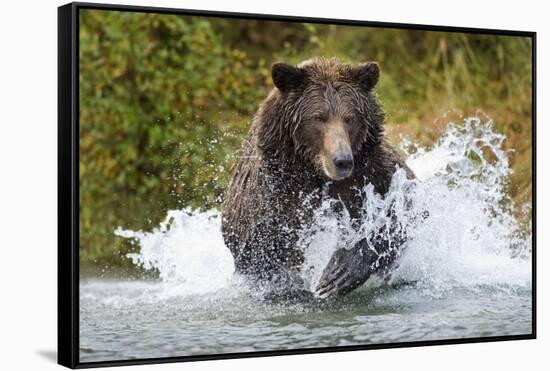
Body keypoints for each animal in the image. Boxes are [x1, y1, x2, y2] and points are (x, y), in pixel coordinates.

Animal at [222, 57, 416, 300]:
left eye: (350, 118)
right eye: (318, 117)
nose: (342, 160)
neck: (315, 172)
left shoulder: (374, 172)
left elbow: (401, 211)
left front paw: (338, 273)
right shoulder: (271, 196)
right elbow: (268, 248)